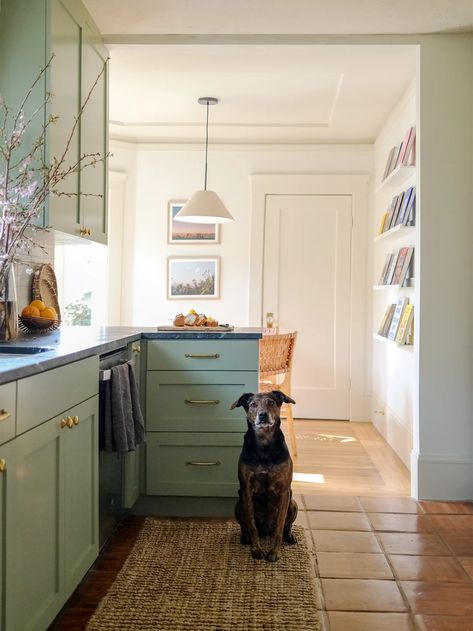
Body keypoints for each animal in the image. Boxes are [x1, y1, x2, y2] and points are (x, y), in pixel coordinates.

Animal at [230, 390, 296, 564]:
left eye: (271, 402)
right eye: (252, 404)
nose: (262, 415)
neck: (265, 445)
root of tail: (266, 531)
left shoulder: (284, 492)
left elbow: (280, 526)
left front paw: (273, 552)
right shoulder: (246, 490)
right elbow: (251, 525)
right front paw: (256, 550)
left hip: (293, 504)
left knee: (286, 526)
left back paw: (290, 536)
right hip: (238, 505)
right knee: (245, 527)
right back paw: (245, 537)